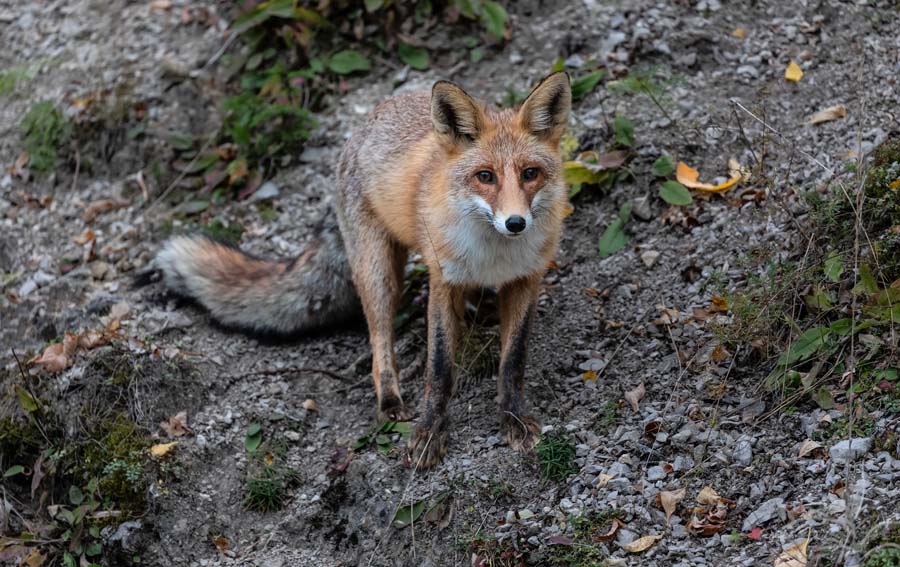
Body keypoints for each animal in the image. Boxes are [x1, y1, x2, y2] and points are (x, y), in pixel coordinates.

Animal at [154, 72, 572, 468]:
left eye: (530, 173)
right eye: (485, 176)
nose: (515, 223)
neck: (494, 255)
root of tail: (364, 124)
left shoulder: (526, 279)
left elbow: (512, 361)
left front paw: (514, 420)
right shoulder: (443, 281)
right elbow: (439, 368)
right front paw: (430, 431)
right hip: (379, 274)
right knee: (379, 341)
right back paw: (389, 402)